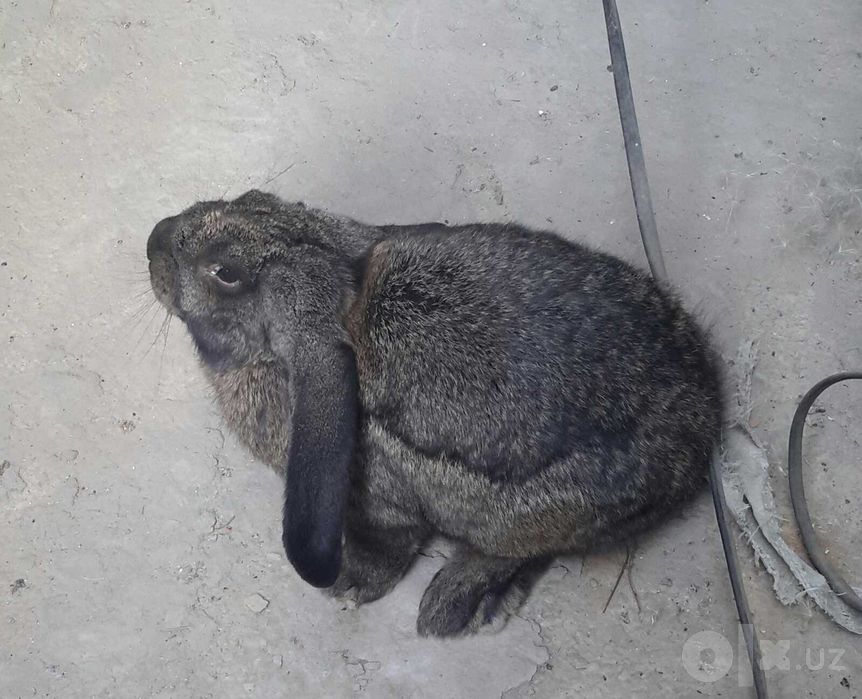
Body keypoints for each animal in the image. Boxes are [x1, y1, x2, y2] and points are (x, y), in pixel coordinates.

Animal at [146, 189, 723, 637]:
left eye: (224, 272)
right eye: (251, 196)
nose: (154, 237)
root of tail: (702, 427)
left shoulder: (380, 504)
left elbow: (389, 544)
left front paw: (350, 583)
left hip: (527, 517)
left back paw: (457, 604)